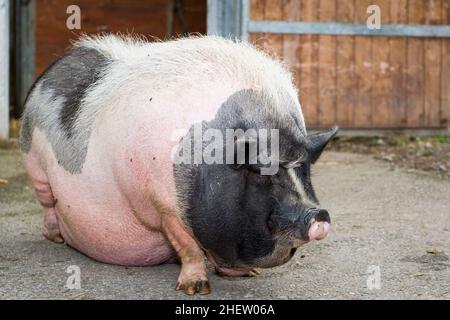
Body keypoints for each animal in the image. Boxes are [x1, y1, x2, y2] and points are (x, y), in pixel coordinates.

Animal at [20, 33, 338, 294]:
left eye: (304, 168)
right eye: (261, 173)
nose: (319, 214)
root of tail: (51, 70)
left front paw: (247, 274)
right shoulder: (163, 203)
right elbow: (188, 245)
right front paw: (196, 289)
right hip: (34, 163)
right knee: (47, 203)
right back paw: (55, 238)